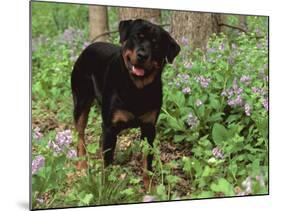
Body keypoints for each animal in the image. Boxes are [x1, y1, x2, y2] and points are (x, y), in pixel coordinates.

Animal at [70, 18, 179, 186]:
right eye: (137, 36)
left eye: (156, 44)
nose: (142, 55)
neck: (137, 89)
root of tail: (87, 48)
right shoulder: (110, 127)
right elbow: (107, 162)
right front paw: (106, 187)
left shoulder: (149, 128)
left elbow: (147, 162)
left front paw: (150, 188)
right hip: (81, 102)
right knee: (80, 136)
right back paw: (82, 166)